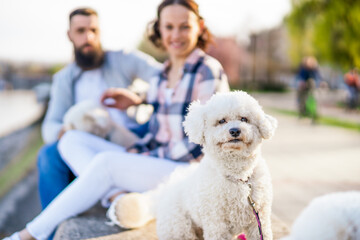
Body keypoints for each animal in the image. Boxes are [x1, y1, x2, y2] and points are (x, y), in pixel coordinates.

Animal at [109, 91, 278, 239]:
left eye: (244, 119)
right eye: (221, 121)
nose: (235, 130)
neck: (239, 177)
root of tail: (164, 193)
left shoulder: (259, 222)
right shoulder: (217, 225)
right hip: (180, 229)